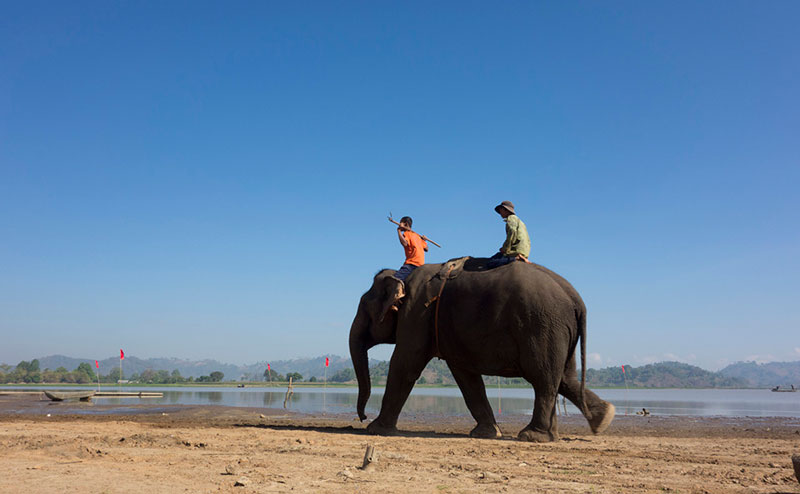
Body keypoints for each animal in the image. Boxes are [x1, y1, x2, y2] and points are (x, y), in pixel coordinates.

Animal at [346, 256, 616, 442]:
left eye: (364, 306)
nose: (362, 416)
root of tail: (575, 298)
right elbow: (466, 376)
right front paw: (487, 433)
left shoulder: (417, 314)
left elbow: (405, 363)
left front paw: (375, 430)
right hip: (559, 330)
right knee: (565, 378)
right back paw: (601, 419)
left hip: (542, 326)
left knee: (544, 378)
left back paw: (532, 436)